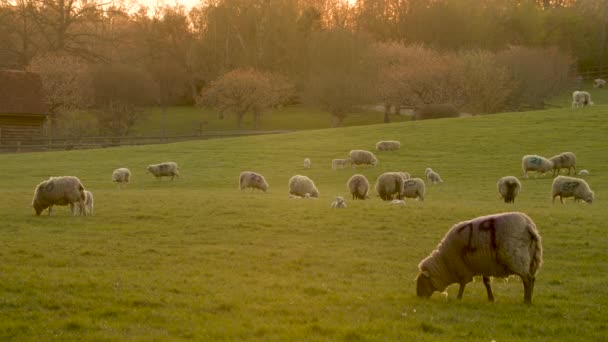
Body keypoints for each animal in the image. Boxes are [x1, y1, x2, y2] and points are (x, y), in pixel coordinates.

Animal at [416, 211, 544, 304]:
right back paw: (529, 299)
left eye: (422, 282)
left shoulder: (462, 267)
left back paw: (526, 300)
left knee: (527, 279)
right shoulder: (484, 263)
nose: (419, 298)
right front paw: (491, 299)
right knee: (532, 278)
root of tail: (528, 225)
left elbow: (463, 284)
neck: (445, 263)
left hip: (517, 257)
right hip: (531, 258)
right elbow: (486, 282)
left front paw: (458, 298)